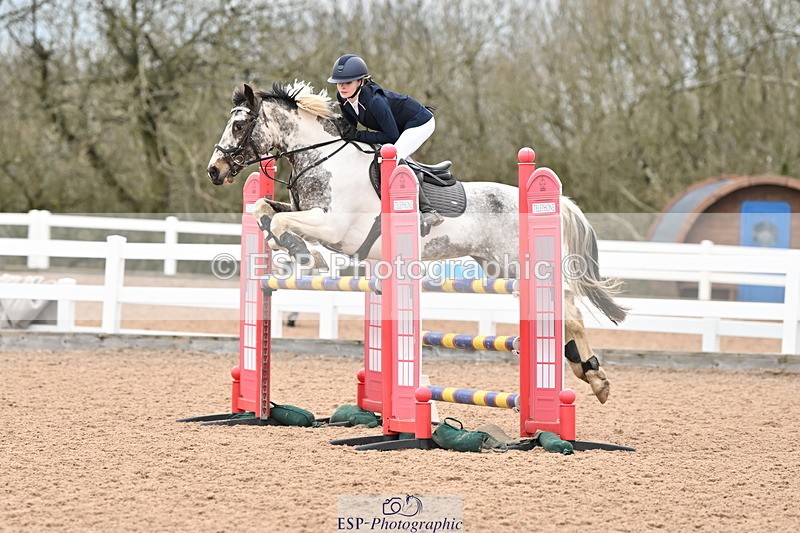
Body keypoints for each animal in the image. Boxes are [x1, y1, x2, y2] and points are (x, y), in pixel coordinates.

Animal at [206, 81, 626, 404]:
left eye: (240, 125)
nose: (214, 170)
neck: (323, 160)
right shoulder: (309, 214)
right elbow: (263, 208)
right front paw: (288, 247)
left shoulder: (333, 227)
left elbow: (281, 220)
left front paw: (303, 255)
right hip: (500, 267)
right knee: (562, 311)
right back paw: (587, 372)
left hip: (520, 264)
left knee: (569, 310)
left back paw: (596, 379)